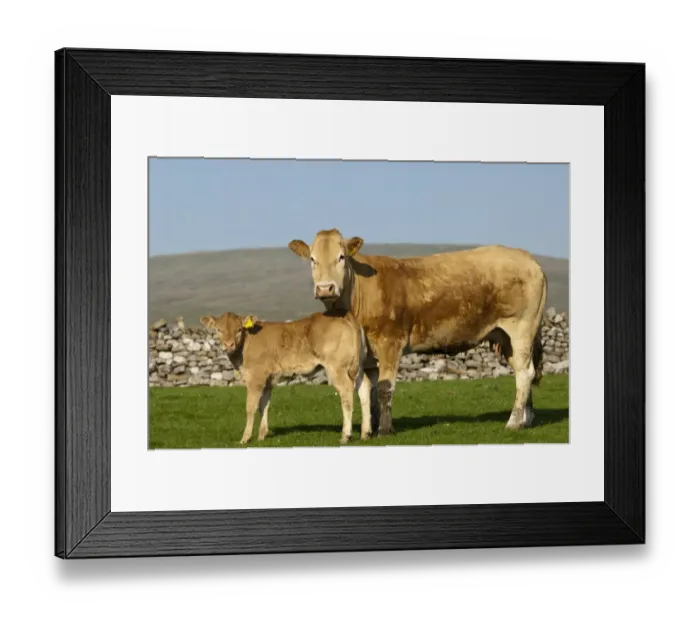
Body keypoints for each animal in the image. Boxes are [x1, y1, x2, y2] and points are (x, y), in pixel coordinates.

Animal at [200, 309, 373, 445]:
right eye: (218, 329)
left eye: (239, 329)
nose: (228, 345)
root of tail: (345, 314)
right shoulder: (268, 380)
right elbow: (264, 406)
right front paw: (262, 434)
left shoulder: (256, 379)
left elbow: (251, 407)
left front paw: (245, 438)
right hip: (358, 366)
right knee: (364, 387)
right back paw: (365, 433)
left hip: (336, 367)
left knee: (346, 391)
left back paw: (346, 435)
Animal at [288, 229, 547, 436]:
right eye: (312, 259)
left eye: (341, 257)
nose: (325, 288)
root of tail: (527, 258)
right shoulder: (368, 355)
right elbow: (371, 391)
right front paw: (371, 427)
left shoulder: (390, 342)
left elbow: (385, 388)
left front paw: (384, 429)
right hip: (505, 336)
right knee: (523, 371)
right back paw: (527, 418)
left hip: (521, 328)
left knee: (525, 373)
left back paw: (514, 422)